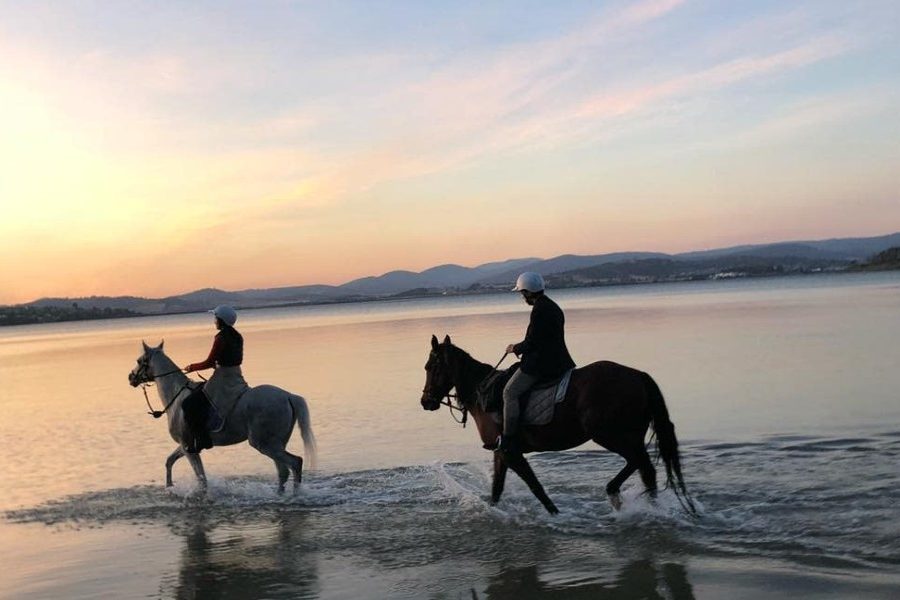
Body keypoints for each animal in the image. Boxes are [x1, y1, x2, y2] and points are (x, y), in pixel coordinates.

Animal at [128, 341, 317, 493]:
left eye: (139, 361)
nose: (130, 377)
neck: (176, 396)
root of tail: (288, 396)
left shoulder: (188, 447)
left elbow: (201, 479)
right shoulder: (186, 445)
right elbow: (169, 461)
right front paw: (169, 487)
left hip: (264, 444)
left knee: (294, 463)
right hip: (276, 443)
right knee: (283, 471)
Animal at [420, 335, 694, 514]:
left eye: (432, 367)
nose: (426, 402)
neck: (483, 391)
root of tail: (638, 376)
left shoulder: (511, 452)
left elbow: (535, 487)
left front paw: (555, 515)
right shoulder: (501, 452)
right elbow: (497, 489)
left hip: (610, 435)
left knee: (641, 463)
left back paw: (618, 495)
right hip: (629, 435)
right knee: (645, 469)